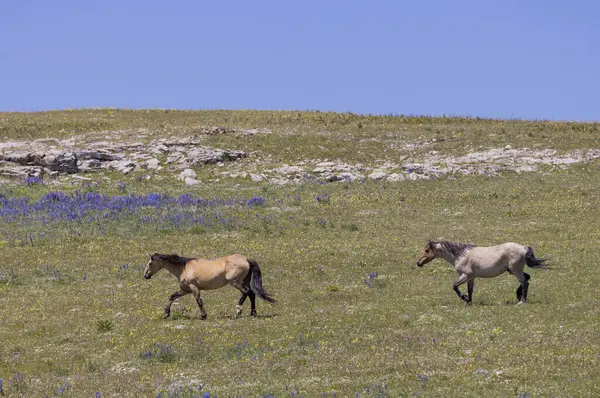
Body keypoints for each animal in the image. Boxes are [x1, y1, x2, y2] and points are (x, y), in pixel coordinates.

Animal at [144, 255, 276, 320]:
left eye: (150, 263)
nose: (146, 276)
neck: (184, 268)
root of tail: (246, 259)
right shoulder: (185, 290)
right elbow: (172, 297)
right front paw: (166, 314)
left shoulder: (193, 287)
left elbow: (199, 301)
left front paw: (204, 316)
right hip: (244, 281)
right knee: (252, 294)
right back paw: (253, 313)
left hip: (235, 282)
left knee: (246, 292)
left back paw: (238, 310)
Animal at [418, 241, 548, 304]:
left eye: (426, 250)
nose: (418, 263)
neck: (461, 255)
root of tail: (523, 248)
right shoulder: (471, 278)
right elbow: (470, 290)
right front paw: (469, 301)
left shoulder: (466, 275)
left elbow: (454, 286)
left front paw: (464, 298)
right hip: (511, 270)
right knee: (527, 278)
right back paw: (519, 295)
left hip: (516, 271)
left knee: (525, 282)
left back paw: (522, 301)